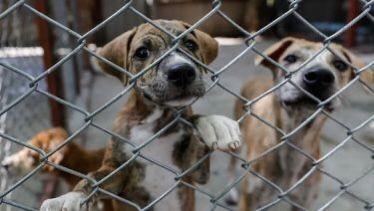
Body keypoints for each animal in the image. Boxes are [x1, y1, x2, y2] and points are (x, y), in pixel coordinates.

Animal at [39, 19, 241, 210]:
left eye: (190, 45)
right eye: (142, 52)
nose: (182, 71)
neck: (156, 121)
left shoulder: (195, 172)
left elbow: (195, 126)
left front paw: (215, 125)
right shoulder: (117, 171)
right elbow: (93, 178)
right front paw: (70, 197)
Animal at [229, 38, 372, 211]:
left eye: (340, 64)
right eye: (290, 58)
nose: (319, 76)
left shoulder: (304, 201)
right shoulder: (250, 198)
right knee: (231, 165)